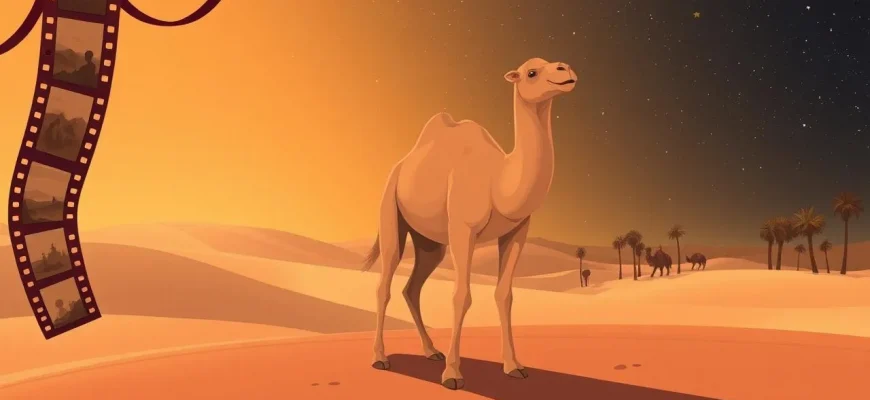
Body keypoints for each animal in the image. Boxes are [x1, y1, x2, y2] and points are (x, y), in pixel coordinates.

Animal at [360, 58, 576, 390]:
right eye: (531, 72)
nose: (565, 70)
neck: (497, 182)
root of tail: (400, 165)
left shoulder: (517, 231)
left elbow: (505, 295)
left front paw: (514, 366)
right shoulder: (463, 228)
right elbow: (461, 296)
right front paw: (452, 374)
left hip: (431, 243)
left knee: (412, 287)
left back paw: (431, 351)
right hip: (390, 208)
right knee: (385, 283)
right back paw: (380, 357)